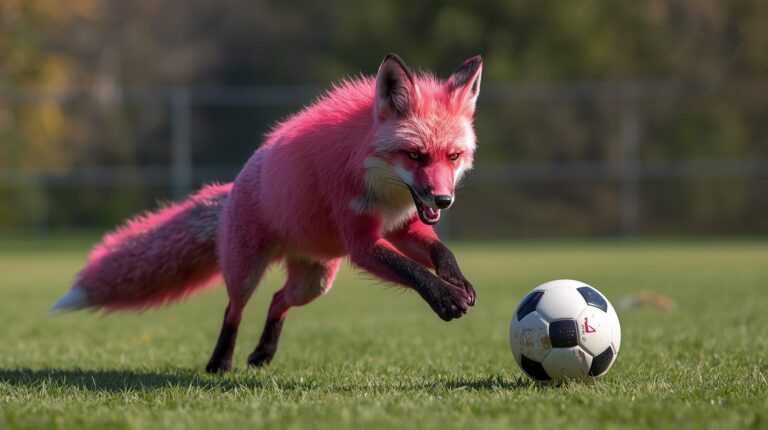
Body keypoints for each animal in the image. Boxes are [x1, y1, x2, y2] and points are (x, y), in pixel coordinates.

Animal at [51, 53, 483, 373]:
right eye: (415, 155)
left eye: (453, 156)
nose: (443, 200)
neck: (380, 185)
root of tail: (233, 186)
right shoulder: (361, 241)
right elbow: (412, 271)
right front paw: (445, 297)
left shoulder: (402, 226)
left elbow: (441, 253)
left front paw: (457, 282)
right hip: (246, 270)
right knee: (234, 309)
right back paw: (220, 362)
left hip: (314, 282)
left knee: (277, 299)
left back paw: (263, 353)